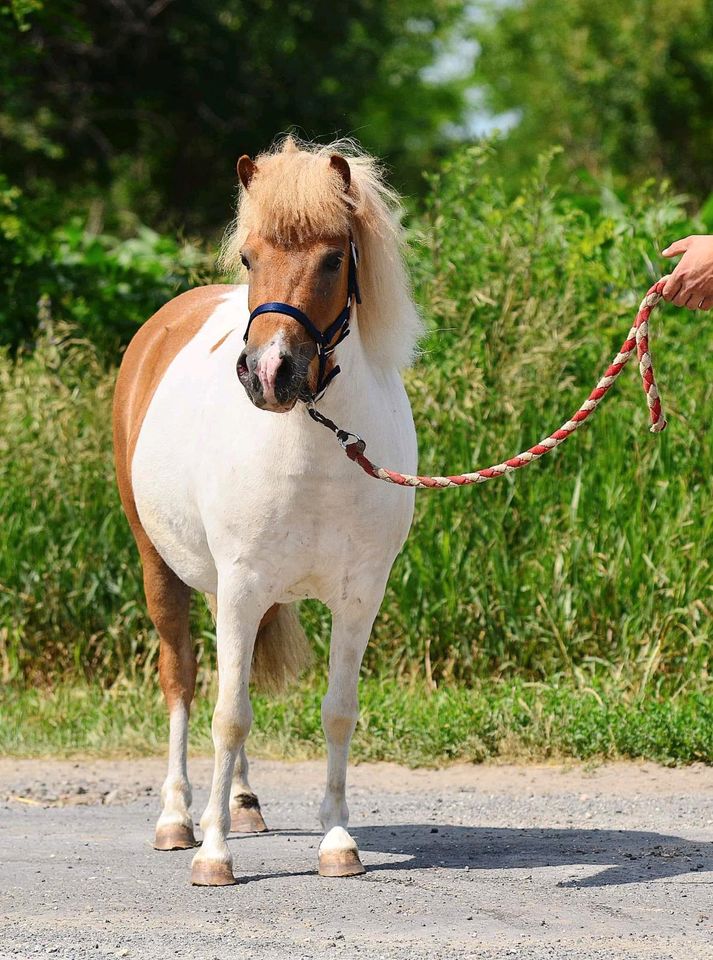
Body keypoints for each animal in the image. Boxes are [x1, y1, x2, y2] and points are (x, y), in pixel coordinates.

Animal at [113, 137, 420, 884]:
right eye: (249, 257)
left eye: (335, 258)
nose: (269, 375)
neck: (315, 445)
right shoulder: (243, 584)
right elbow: (227, 714)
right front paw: (213, 855)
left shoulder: (358, 595)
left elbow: (337, 712)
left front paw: (337, 841)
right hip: (163, 569)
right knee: (182, 681)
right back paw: (178, 818)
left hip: (225, 589)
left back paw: (244, 803)